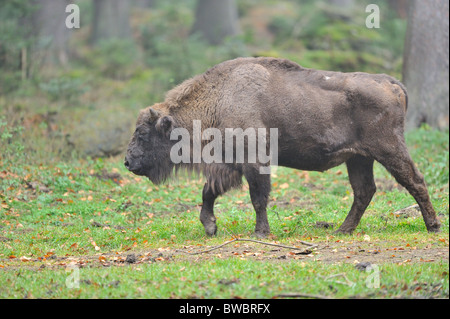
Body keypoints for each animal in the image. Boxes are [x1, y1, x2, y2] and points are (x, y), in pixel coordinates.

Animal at [125, 57, 442, 238]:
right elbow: (209, 192)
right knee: (364, 191)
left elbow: (257, 198)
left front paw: (260, 233)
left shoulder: (255, 162)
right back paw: (343, 230)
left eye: (143, 133)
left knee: (414, 180)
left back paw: (433, 226)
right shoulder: (229, 166)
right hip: (359, 159)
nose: (128, 162)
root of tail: (391, 83)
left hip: (388, 149)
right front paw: (210, 227)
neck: (219, 99)